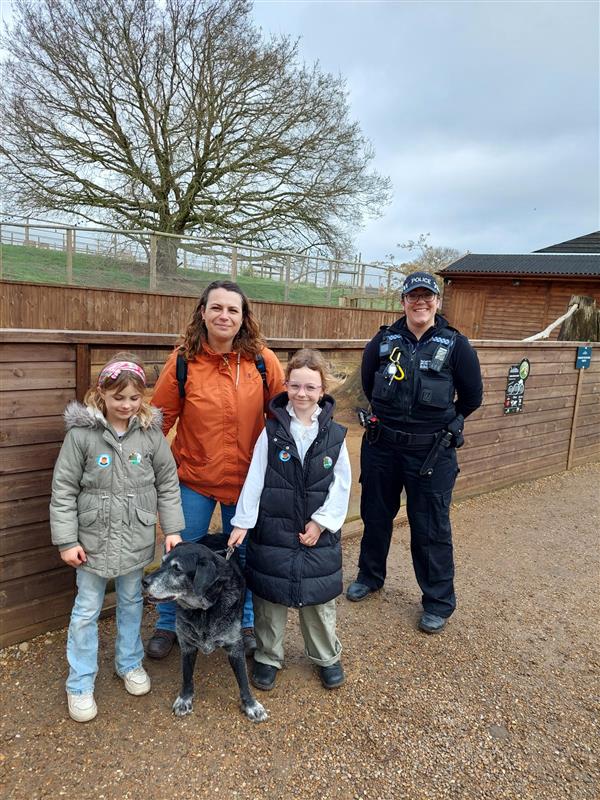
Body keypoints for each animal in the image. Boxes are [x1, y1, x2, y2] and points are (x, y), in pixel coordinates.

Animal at [142, 536, 266, 720]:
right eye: (162, 562)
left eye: (177, 569)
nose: (143, 582)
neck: (204, 610)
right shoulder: (187, 646)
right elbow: (187, 676)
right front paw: (184, 699)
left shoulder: (235, 647)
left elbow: (243, 680)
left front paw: (251, 705)